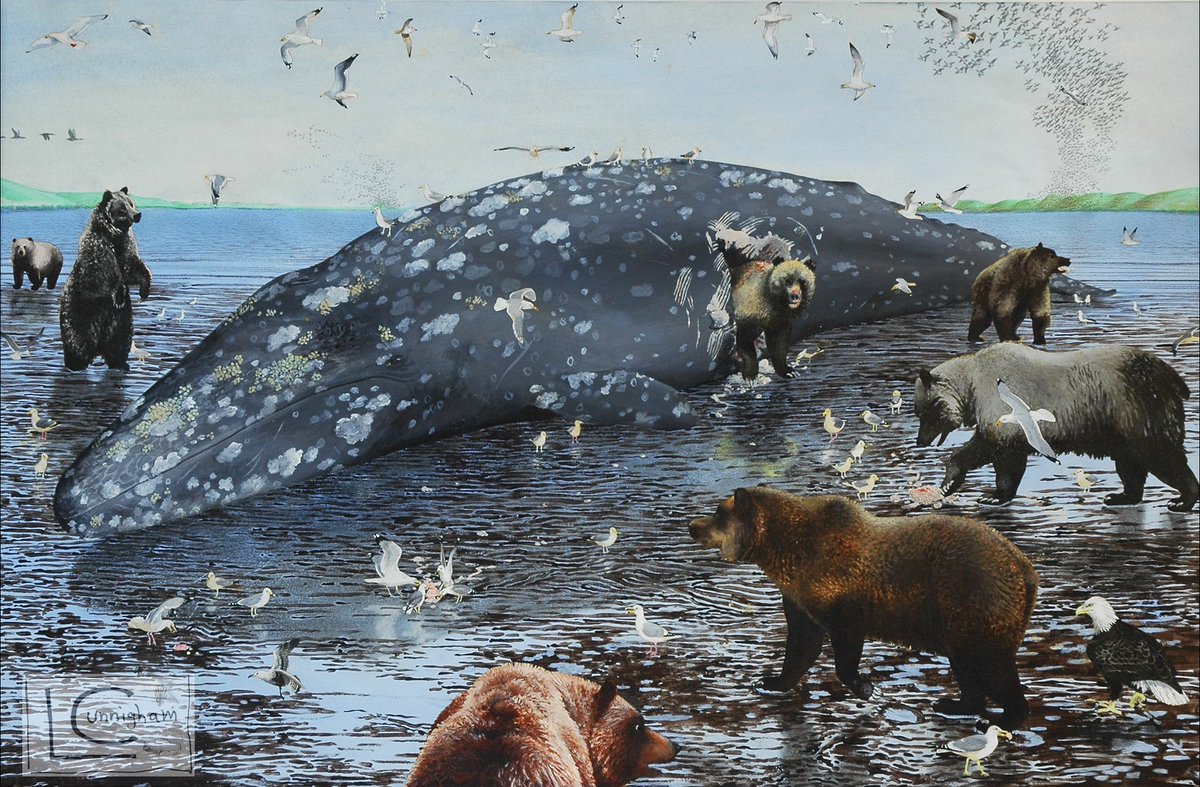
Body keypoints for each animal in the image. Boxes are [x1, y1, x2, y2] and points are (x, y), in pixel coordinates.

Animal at [59, 188, 152, 371]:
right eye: (122, 208)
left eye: (131, 203)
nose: (137, 214)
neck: (113, 235)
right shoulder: (99, 251)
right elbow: (110, 275)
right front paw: (119, 295)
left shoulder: (126, 246)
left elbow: (134, 267)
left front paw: (144, 290)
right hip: (79, 313)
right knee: (78, 343)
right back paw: (75, 364)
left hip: (121, 321)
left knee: (119, 344)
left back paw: (120, 364)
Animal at [689, 487, 1039, 727]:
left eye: (718, 512)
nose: (693, 525)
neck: (788, 553)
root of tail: (1025, 569)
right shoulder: (800, 596)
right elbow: (802, 644)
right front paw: (771, 682)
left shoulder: (841, 590)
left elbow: (843, 643)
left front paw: (864, 686)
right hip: (961, 617)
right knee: (967, 666)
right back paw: (955, 705)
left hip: (974, 598)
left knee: (990, 664)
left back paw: (1005, 716)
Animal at [712, 221, 816, 379]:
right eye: (786, 280)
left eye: (802, 281)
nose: (795, 296)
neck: (776, 304)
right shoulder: (751, 310)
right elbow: (745, 339)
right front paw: (750, 373)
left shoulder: (780, 322)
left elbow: (778, 345)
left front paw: (787, 370)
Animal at [915, 342, 1198, 512]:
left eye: (924, 412)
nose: (920, 440)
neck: (973, 382)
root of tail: (1171, 376)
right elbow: (998, 454)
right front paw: (971, 489)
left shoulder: (1004, 409)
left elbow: (995, 449)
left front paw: (984, 493)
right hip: (1119, 425)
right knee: (1130, 462)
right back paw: (1120, 496)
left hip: (1135, 406)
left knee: (1160, 454)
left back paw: (1182, 500)